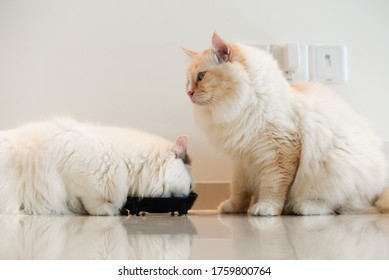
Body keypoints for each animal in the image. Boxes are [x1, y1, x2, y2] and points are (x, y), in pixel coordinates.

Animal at [184, 33, 388, 217]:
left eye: (201, 76)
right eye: (187, 81)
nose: (189, 93)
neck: (242, 105)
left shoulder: (278, 152)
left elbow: (273, 186)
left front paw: (265, 208)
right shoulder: (241, 161)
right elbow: (238, 189)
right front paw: (234, 208)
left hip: (336, 169)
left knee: (340, 205)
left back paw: (302, 207)